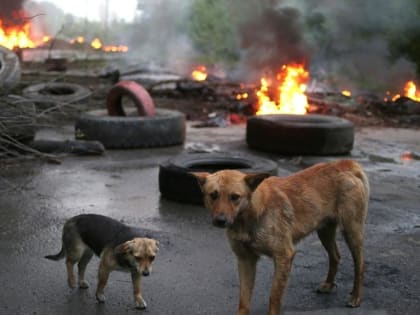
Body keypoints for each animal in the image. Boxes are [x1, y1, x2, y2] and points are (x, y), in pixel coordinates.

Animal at [193, 160, 368, 315]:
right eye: (213, 195)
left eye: (234, 197)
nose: (220, 221)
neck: (252, 214)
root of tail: (343, 164)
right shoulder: (245, 260)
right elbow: (244, 300)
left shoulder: (284, 256)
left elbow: (274, 297)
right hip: (324, 231)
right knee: (336, 256)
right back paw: (329, 285)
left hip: (352, 232)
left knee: (359, 264)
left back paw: (356, 297)